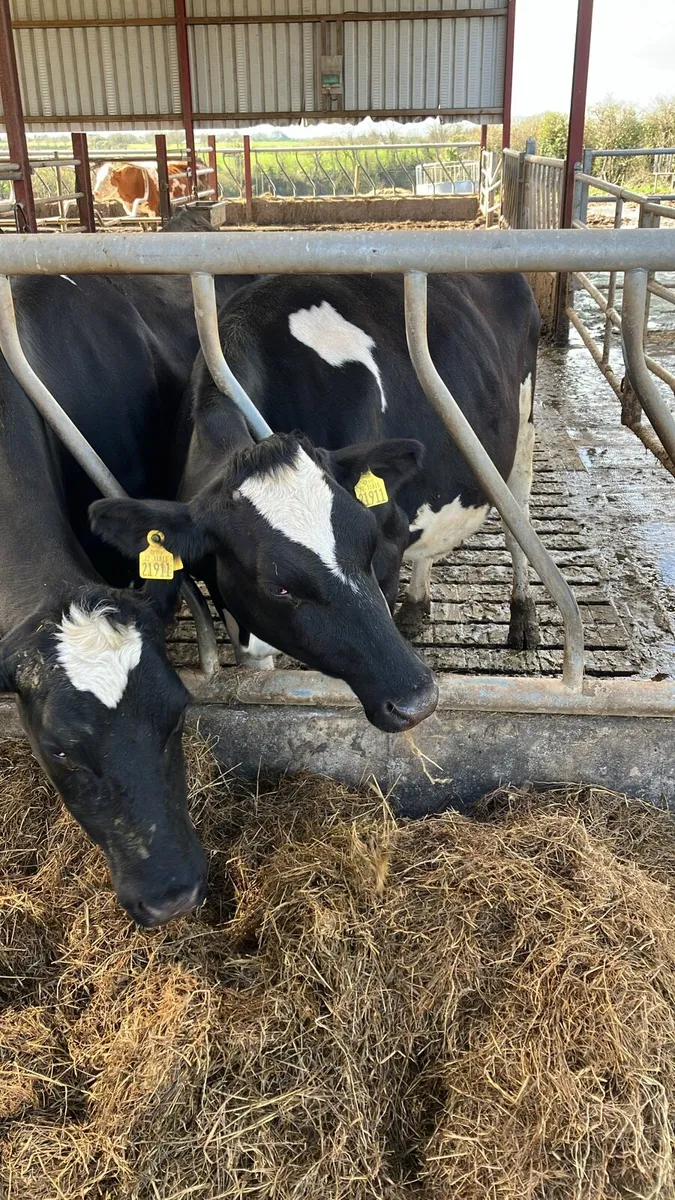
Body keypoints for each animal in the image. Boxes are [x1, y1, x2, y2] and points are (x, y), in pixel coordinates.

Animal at [91, 271, 540, 704]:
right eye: (278, 587)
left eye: (369, 548)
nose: (417, 696)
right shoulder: (240, 609)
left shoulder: (390, 541)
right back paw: (416, 606)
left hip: (522, 433)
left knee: (517, 522)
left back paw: (523, 617)